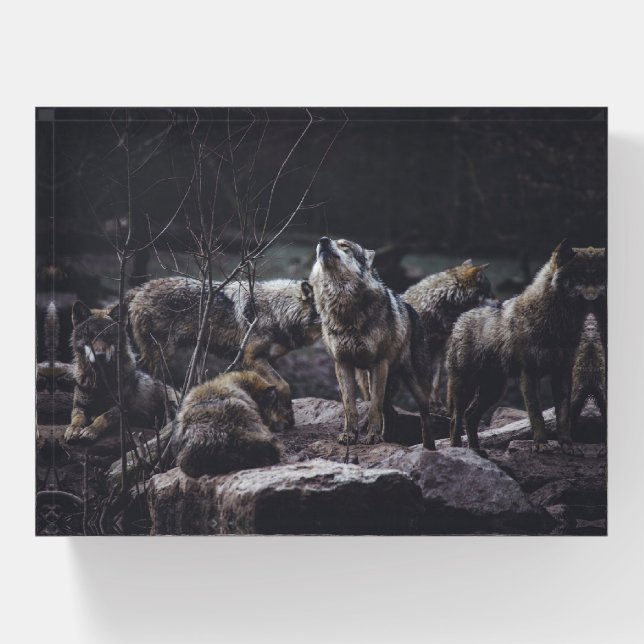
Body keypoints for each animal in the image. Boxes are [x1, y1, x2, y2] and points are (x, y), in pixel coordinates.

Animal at [64, 301, 177, 443]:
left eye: (108, 336)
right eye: (90, 336)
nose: (100, 355)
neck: (101, 382)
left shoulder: (122, 408)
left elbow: (103, 416)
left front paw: (90, 430)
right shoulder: (79, 406)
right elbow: (77, 418)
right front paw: (73, 429)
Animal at [126, 277, 320, 425]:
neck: (277, 310)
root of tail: (139, 289)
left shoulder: (266, 360)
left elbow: (270, 389)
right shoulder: (252, 357)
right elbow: (283, 385)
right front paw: (288, 417)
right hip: (161, 356)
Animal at [309, 237, 434, 448]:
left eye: (345, 245)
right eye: (328, 241)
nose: (323, 240)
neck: (344, 309)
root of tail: (412, 310)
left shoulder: (378, 364)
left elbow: (374, 407)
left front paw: (373, 437)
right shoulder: (342, 364)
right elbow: (349, 407)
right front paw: (349, 435)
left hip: (414, 385)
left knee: (424, 415)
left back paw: (428, 448)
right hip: (371, 380)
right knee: (390, 412)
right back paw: (388, 438)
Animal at [446, 241, 606, 452]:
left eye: (599, 276)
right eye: (580, 276)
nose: (595, 297)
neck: (555, 323)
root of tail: (460, 319)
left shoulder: (562, 373)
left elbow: (563, 415)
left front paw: (567, 445)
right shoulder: (529, 373)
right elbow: (536, 415)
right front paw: (541, 444)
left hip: (493, 390)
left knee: (470, 416)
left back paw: (476, 451)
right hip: (466, 387)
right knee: (455, 420)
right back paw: (458, 450)